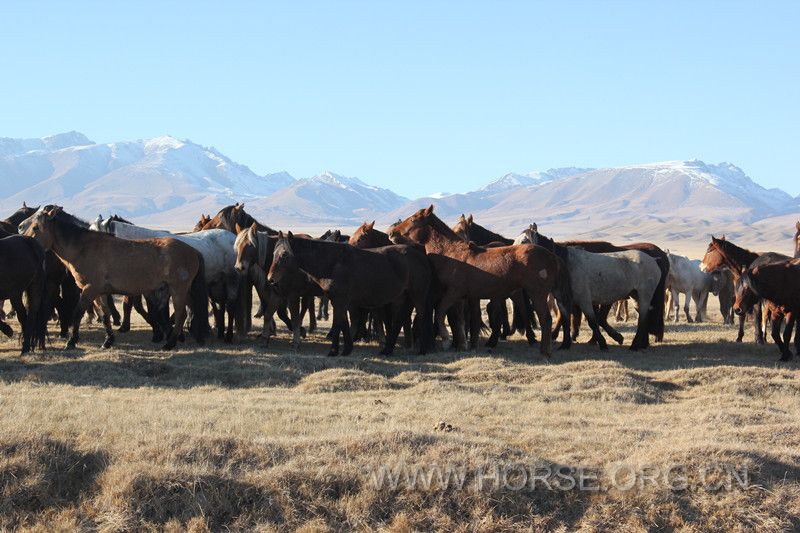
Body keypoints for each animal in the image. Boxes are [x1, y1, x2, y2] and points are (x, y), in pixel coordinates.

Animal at [21, 206, 209, 352]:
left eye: (36, 227)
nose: (23, 235)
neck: (83, 249)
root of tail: (194, 251)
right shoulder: (100, 293)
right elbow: (105, 316)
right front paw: (108, 341)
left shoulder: (90, 290)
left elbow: (77, 313)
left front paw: (71, 341)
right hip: (172, 290)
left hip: (178, 290)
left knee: (180, 314)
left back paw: (170, 343)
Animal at [268, 231, 434, 356]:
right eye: (274, 253)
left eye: (284, 255)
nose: (270, 279)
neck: (333, 263)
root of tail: (421, 255)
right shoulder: (338, 300)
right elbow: (344, 324)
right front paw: (347, 349)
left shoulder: (340, 300)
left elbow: (337, 324)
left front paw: (333, 351)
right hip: (403, 297)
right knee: (400, 320)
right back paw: (387, 350)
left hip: (418, 296)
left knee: (422, 317)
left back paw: (422, 350)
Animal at [388, 206, 564, 356]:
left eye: (413, 219)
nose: (391, 233)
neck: (452, 253)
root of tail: (551, 256)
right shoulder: (461, 298)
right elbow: (458, 320)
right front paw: (462, 344)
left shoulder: (453, 292)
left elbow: (440, 313)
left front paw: (446, 341)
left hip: (537, 293)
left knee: (545, 319)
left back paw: (544, 352)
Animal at [516, 223, 660, 350]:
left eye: (524, 241)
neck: (566, 264)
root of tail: (654, 261)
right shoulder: (563, 301)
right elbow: (566, 321)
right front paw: (565, 344)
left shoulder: (584, 300)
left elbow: (592, 322)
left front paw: (603, 343)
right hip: (635, 297)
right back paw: (641, 344)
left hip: (644, 296)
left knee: (642, 319)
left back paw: (634, 346)